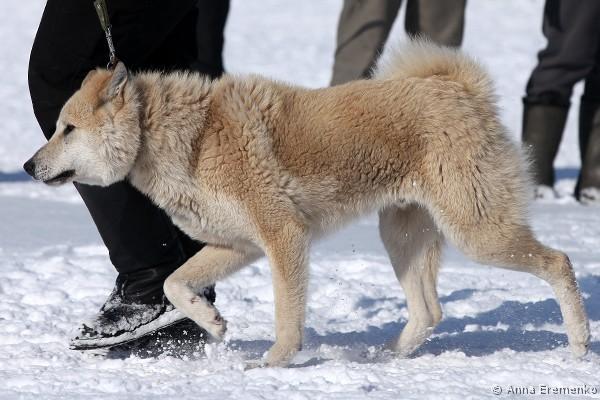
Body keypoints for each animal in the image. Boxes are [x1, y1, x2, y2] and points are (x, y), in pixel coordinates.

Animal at [24, 41, 589, 367]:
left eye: (68, 129)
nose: (29, 166)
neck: (185, 137)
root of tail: (462, 91)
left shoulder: (283, 237)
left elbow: (287, 311)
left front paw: (276, 359)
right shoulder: (238, 244)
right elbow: (174, 283)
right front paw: (212, 322)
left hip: (477, 230)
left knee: (559, 262)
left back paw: (580, 344)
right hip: (404, 234)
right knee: (430, 311)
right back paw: (385, 356)